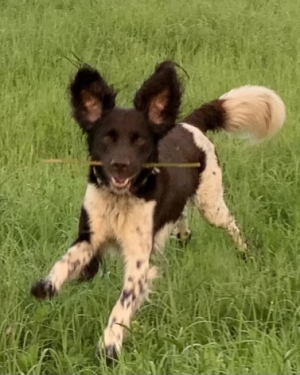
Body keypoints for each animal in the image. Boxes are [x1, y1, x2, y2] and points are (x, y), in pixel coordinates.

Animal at [30, 61, 286, 364]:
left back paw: (244, 252)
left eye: (139, 141)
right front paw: (48, 285)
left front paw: (110, 345)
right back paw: (184, 237)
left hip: (211, 204)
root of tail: (190, 124)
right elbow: (67, 261)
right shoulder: (90, 233)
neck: (122, 199)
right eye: (107, 138)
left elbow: (123, 303)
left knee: (230, 224)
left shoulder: (139, 258)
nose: (120, 165)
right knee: (182, 218)